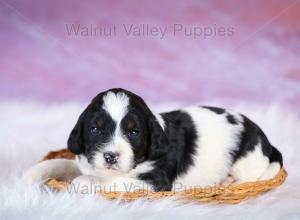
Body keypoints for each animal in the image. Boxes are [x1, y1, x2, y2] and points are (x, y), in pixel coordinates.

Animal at [22, 88, 282, 192]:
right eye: (95, 129)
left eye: (133, 132)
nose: (110, 156)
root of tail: (265, 139)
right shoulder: (87, 162)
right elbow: (62, 163)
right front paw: (31, 175)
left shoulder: (155, 180)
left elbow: (112, 181)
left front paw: (81, 183)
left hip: (246, 162)